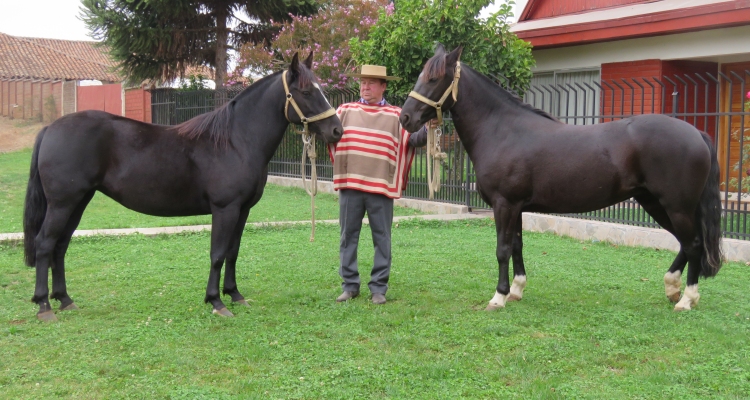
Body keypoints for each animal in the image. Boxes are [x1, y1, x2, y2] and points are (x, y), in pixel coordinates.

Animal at [22, 53, 342, 322]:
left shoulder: (242, 211)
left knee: (60, 246)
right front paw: (216, 302)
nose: (336, 130)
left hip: (78, 202)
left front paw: (234, 294)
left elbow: (233, 252)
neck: (235, 141)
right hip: (63, 204)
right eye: (306, 91)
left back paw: (65, 300)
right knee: (45, 244)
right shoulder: (225, 209)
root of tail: (51, 128)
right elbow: (217, 253)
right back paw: (44, 306)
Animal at [402, 46, 724, 312]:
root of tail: (697, 133)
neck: (502, 130)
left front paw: (499, 296)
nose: (406, 118)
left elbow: (502, 249)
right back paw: (672, 287)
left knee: (694, 244)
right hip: (654, 203)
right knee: (685, 243)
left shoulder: (504, 204)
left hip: (675, 206)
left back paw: (686, 299)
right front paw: (517, 290)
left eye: (433, 78)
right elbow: (517, 246)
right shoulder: (517, 207)